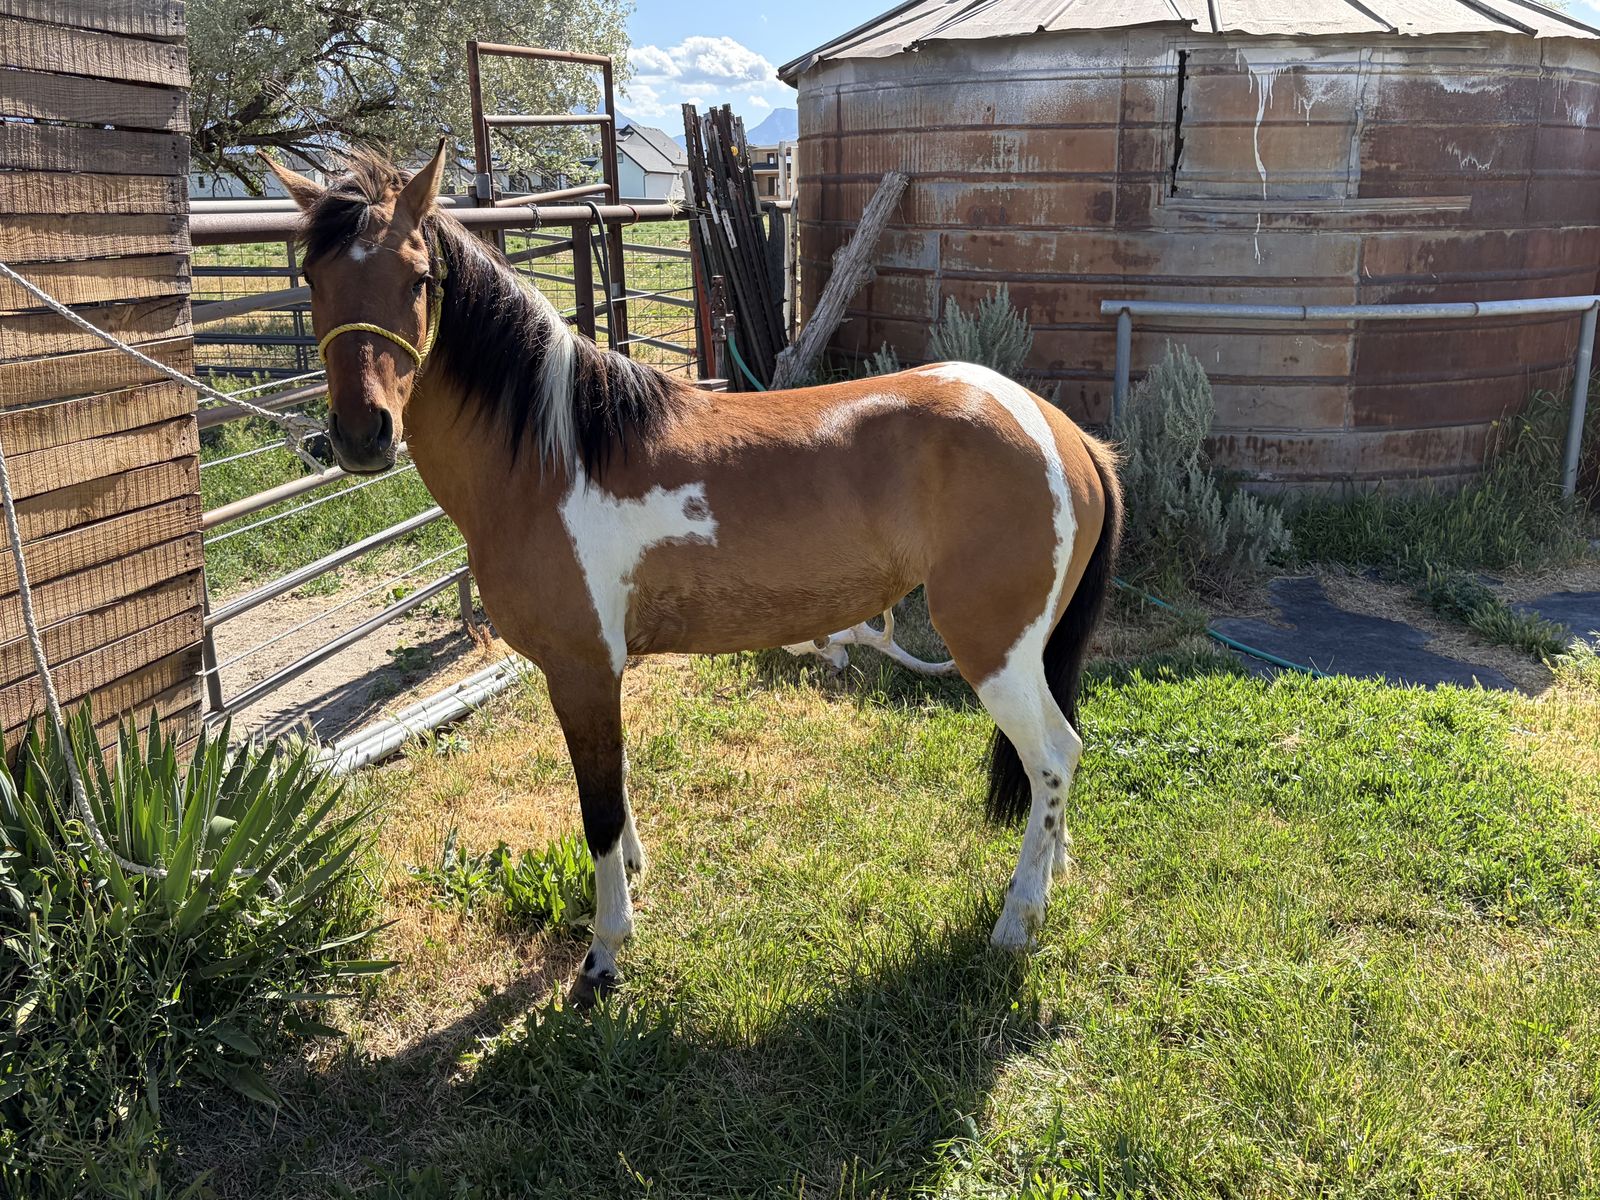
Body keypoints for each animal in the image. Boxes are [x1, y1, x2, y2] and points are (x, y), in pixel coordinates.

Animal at [265, 144, 1123, 1005]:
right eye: (311, 276)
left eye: (417, 279)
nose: (361, 435)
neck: (554, 457)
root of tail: (1067, 436)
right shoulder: (598, 673)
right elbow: (613, 789)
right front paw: (633, 875)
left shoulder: (580, 668)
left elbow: (597, 810)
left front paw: (605, 952)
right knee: (1055, 767)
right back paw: (1049, 877)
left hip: (995, 650)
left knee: (1054, 756)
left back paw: (1016, 920)